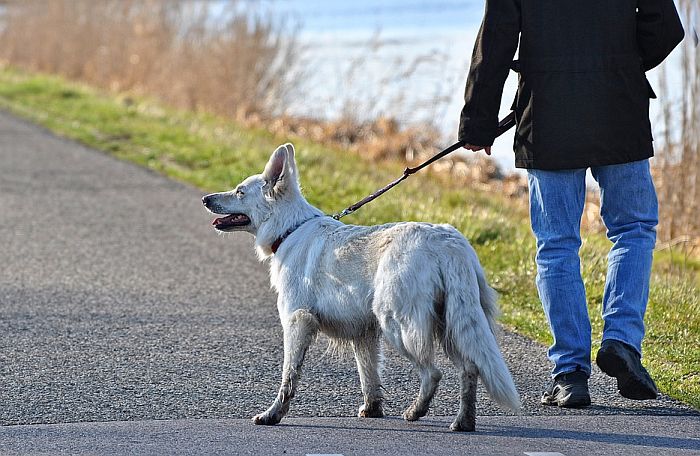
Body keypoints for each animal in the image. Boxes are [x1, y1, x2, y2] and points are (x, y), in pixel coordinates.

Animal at [202, 143, 520, 432]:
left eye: (240, 191)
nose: (205, 198)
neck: (290, 229)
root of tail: (448, 243)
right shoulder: (364, 334)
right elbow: (369, 377)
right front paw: (372, 410)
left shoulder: (297, 322)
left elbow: (288, 377)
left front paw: (273, 415)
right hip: (452, 325)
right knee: (470, 368)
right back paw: (463, 422)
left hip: (399, 325)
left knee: (433, 373)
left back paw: (416, 412)